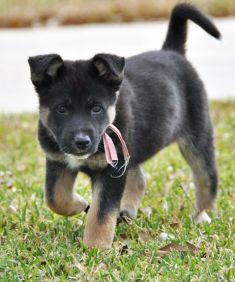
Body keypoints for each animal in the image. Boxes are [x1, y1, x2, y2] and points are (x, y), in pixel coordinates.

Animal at [28, 3, 220, 248]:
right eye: (61, 109)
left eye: (96, 108)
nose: (81, 142)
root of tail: (172, 52)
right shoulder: (58, 160)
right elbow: (55, 198)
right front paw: (80, 204)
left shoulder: (112, 170)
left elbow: (101, 214)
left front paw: (95, 248)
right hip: (131, 147)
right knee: (139, 179)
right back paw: (127, 211)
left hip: (197, 137)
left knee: (207, 178)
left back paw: (204, 215)